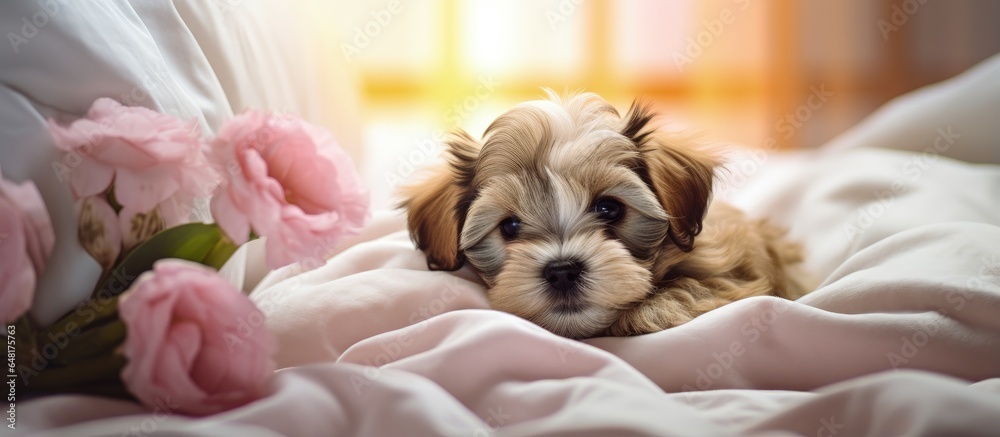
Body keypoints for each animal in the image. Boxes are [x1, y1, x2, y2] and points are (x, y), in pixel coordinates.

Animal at [400, 91, 812, 338]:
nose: (562, 271)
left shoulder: (736, 273)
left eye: (609, 208)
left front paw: (653, 311)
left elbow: (696, 286)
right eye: (510, 226)